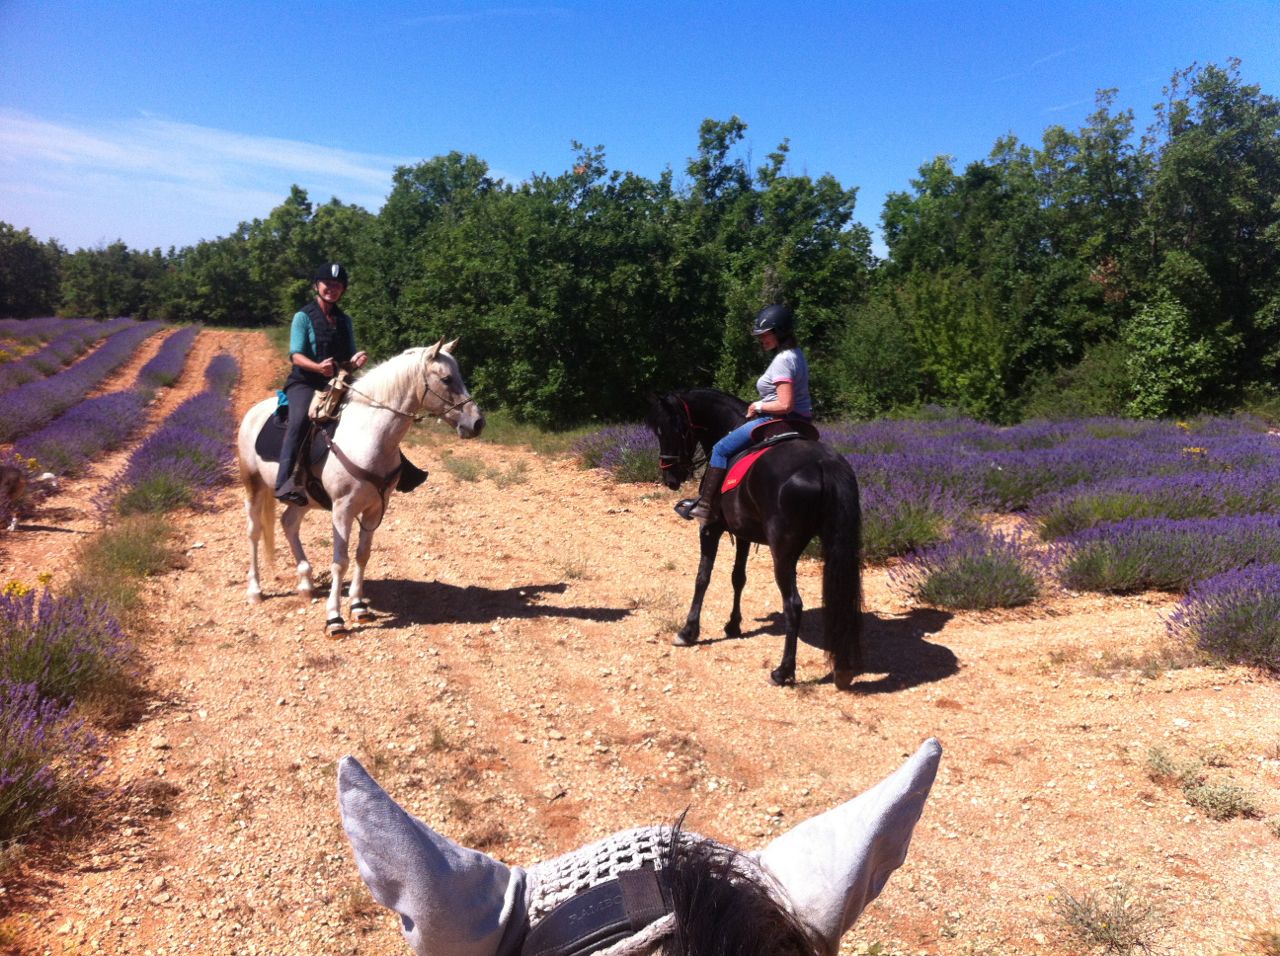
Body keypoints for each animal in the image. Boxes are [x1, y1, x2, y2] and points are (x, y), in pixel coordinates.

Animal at [237, 339, 484, 635]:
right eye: (446, 379)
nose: (477, 422)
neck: (369, 434)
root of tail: (254, 412)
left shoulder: (376, 508)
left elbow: (362, 555)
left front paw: (357, 606)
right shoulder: (342, 510)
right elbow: (340, 561)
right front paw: (334, 618)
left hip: (304, 498)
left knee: (289, 523)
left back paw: (306, 583)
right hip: (252, 484)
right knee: (253, 532)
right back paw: (254, 591)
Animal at [646, 388, 862, 688]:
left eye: (672, 430)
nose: (670, 478)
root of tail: (823, 463)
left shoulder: (711, 528)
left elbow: (703, 577)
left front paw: (688, 631)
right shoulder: (743, 532)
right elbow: (738, 577)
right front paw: (733, 624)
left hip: (783, 552)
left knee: (793, 604)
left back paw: (783, 671)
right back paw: (842, 669)